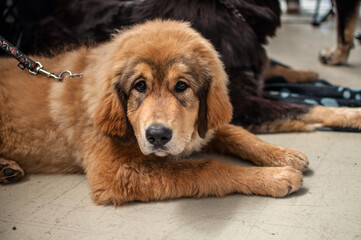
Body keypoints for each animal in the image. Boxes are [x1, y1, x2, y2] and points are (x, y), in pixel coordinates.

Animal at [0, 19, 306, 205]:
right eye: (140, 86)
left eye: (181, 86)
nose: (157, 135)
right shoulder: (115, 172)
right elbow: (206, 167)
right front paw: (273, 177)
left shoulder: (200, 128)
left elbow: (237, 134)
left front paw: (283, 155)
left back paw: (7, 168)